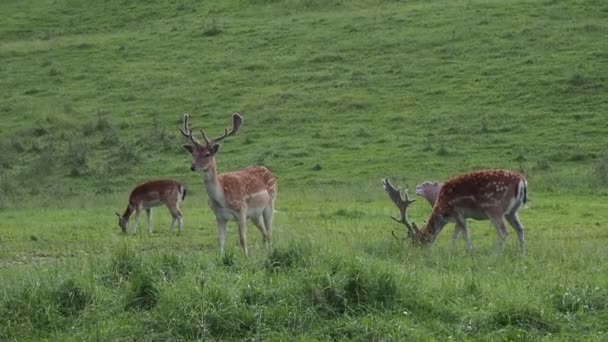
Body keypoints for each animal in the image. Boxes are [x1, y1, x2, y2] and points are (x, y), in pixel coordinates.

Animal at [179, 112, 276, 256]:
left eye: (207, 154)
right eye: (194, 154)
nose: (192, 166)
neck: (221, 199)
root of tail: (269, 171)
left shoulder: (241, 211)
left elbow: (242, 239)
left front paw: (246, 258)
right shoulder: (219, 216)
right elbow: (221, 240)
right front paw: (222, 258)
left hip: (270, 203)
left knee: (269, 232)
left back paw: (270, 252)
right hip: (255, 214)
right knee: (264, 233)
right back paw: (266, 252)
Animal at [384, 170, 528, 252]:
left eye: (417, 242)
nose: (415, 252)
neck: (442, 210)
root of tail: (521, 180)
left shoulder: (457, 213)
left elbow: (464, 234)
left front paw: (469, 251)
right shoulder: (459, 218)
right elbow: (455, 235)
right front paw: (452, 252)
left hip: (494, 208)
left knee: (503, 233)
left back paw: (495, 256)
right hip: (512, 211)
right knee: (520, 229)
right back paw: (521, 255)